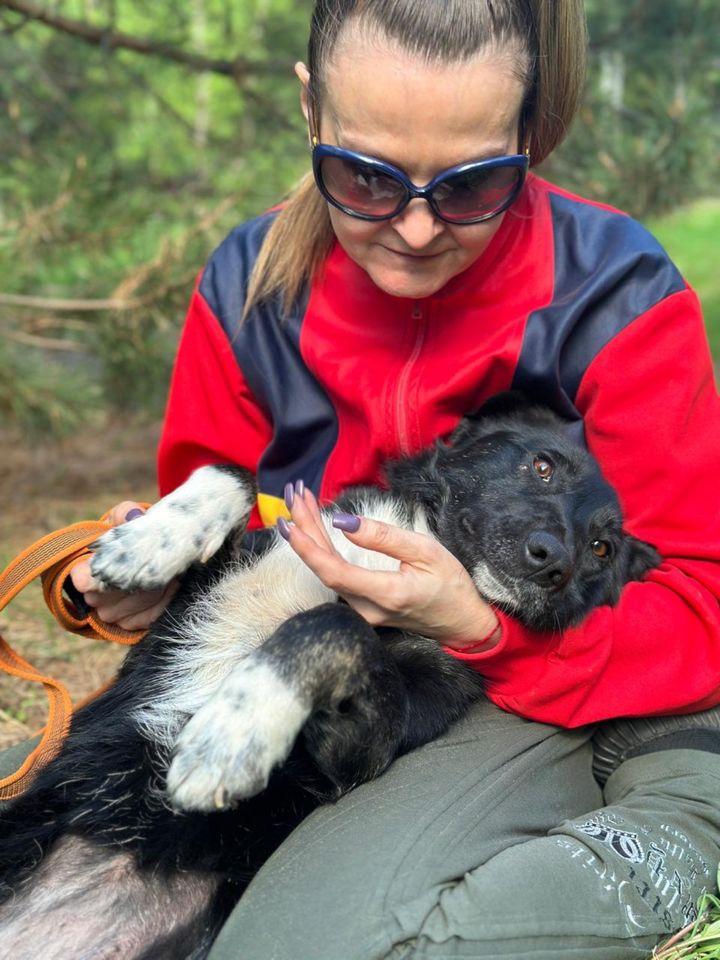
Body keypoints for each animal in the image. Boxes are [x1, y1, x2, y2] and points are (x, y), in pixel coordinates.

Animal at [0, 394, 660, 956]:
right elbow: (235, 472)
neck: (395, 552)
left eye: (601, 549)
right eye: (542, 466)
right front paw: (149, 540)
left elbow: (337, 626)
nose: (554, 562)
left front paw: (234, 736)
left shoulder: (360, 747)